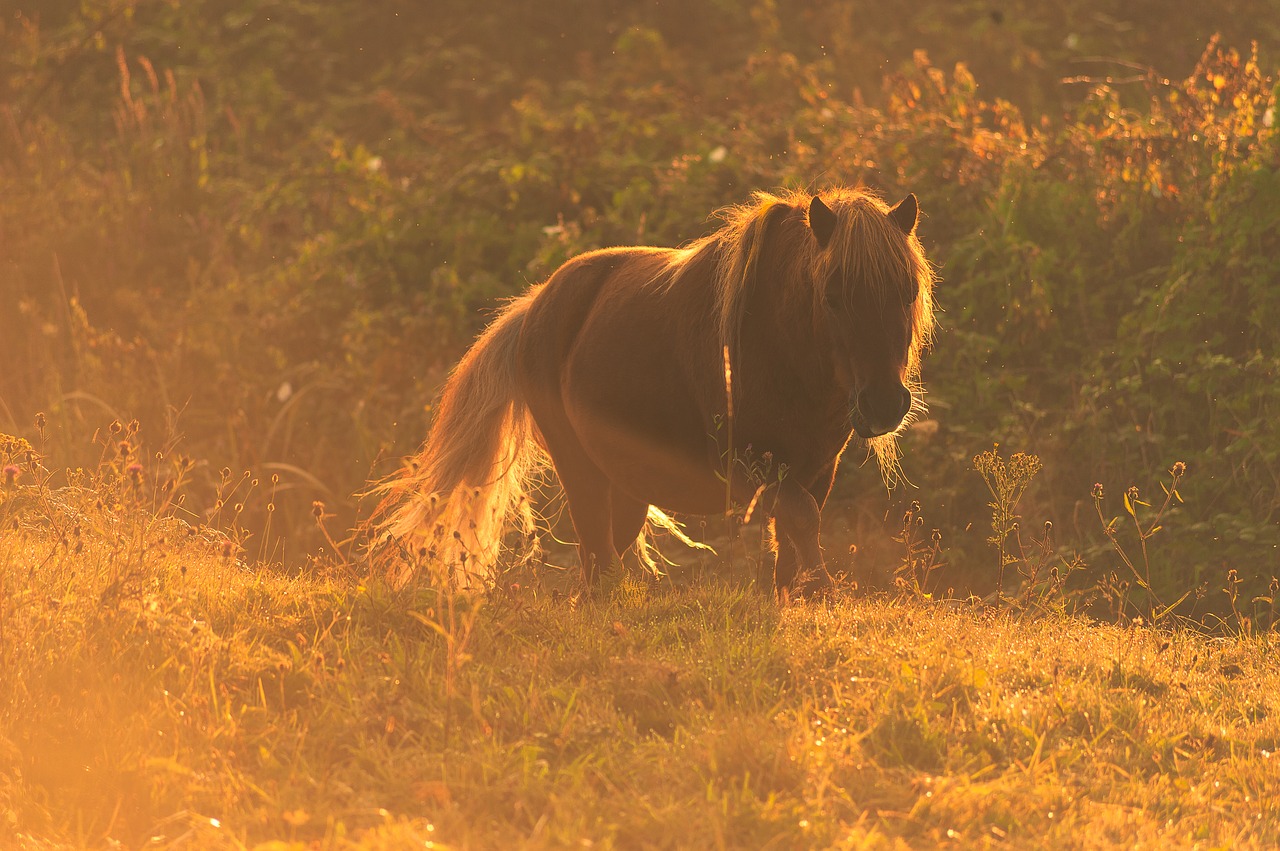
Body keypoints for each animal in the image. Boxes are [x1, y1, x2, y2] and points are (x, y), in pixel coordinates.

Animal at [373, 185, 936, 591]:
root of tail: (537, 305)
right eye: (834, 295)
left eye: (908, 291)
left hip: (626, 483)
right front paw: (821, 588)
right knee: (598, 562)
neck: (776, 346)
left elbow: (795, 537)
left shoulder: (816, 467)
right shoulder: (751, 463)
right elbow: (801, 520)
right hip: (580, 470)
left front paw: (796, 594)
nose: (885, 404)